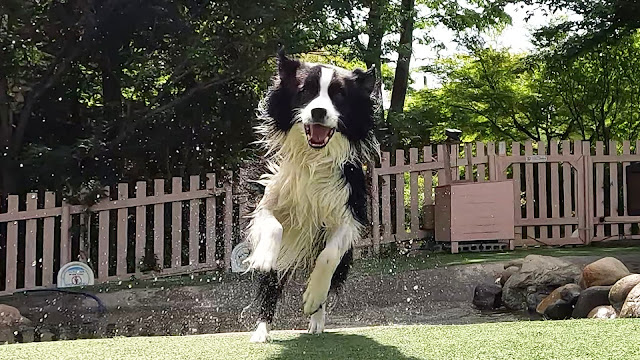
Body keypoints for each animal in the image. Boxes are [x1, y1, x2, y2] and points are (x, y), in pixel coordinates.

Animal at [244, 49, 376, 342]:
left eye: (339, 95)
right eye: (305, 91)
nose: (318, 111)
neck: (314, 157)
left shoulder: (349, 213)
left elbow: (327, 256)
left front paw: (313, 297)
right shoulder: (267, 197)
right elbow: (273, 226)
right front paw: (263, 257)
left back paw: (316, 318)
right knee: (271, 287)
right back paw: (261, 331)